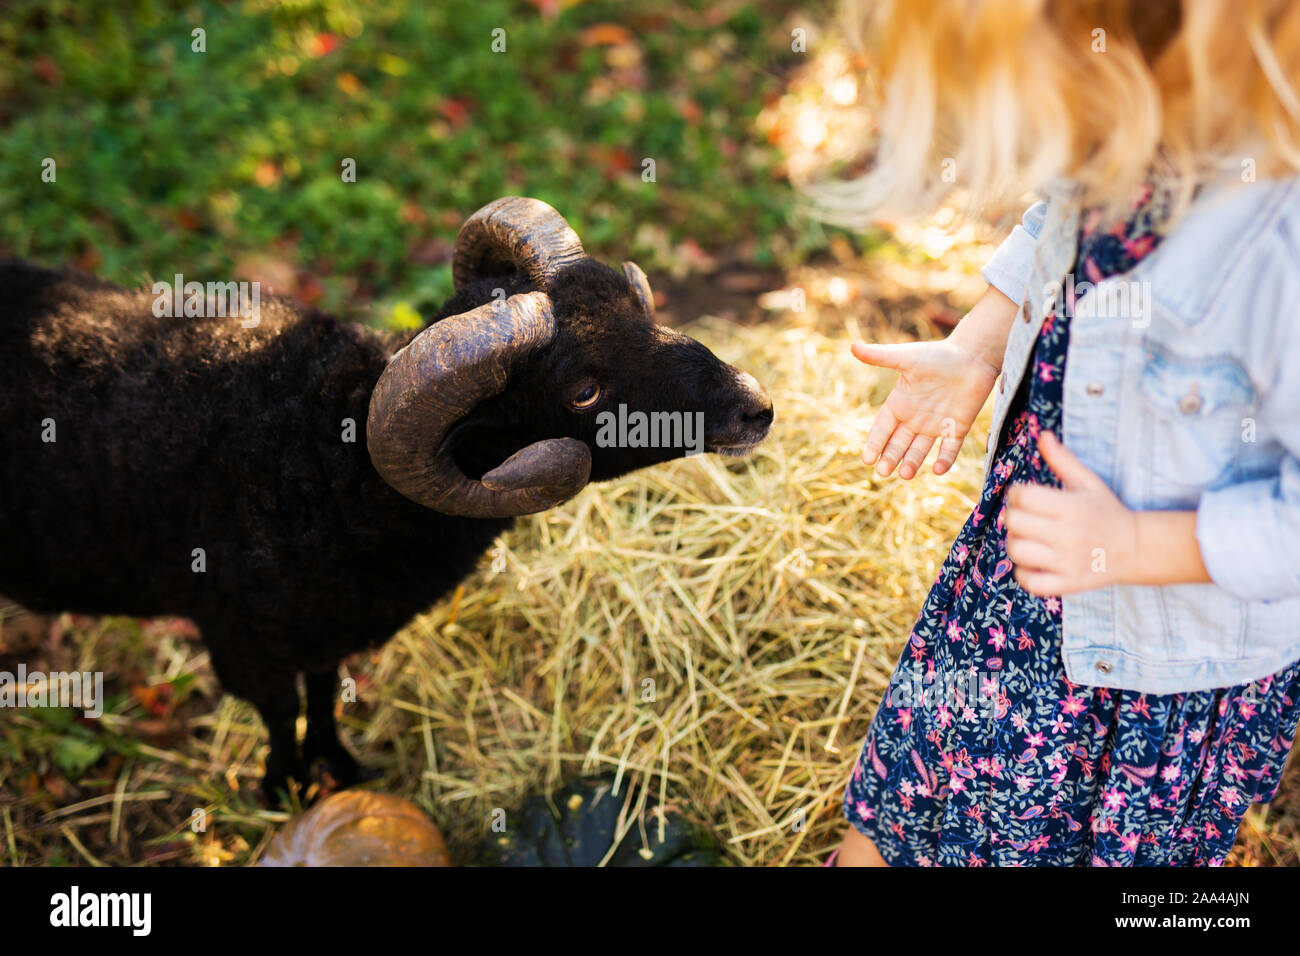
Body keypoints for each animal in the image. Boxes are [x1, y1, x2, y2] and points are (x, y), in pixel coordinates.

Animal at [0, 200, 769, 801]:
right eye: (583, 389)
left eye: (632, 303)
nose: (755, 407)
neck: (321, 457)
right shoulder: (242, 636)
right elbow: (279, 710)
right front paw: (284, 789)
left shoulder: (323, 627)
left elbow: (321, 693)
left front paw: (339, 767)